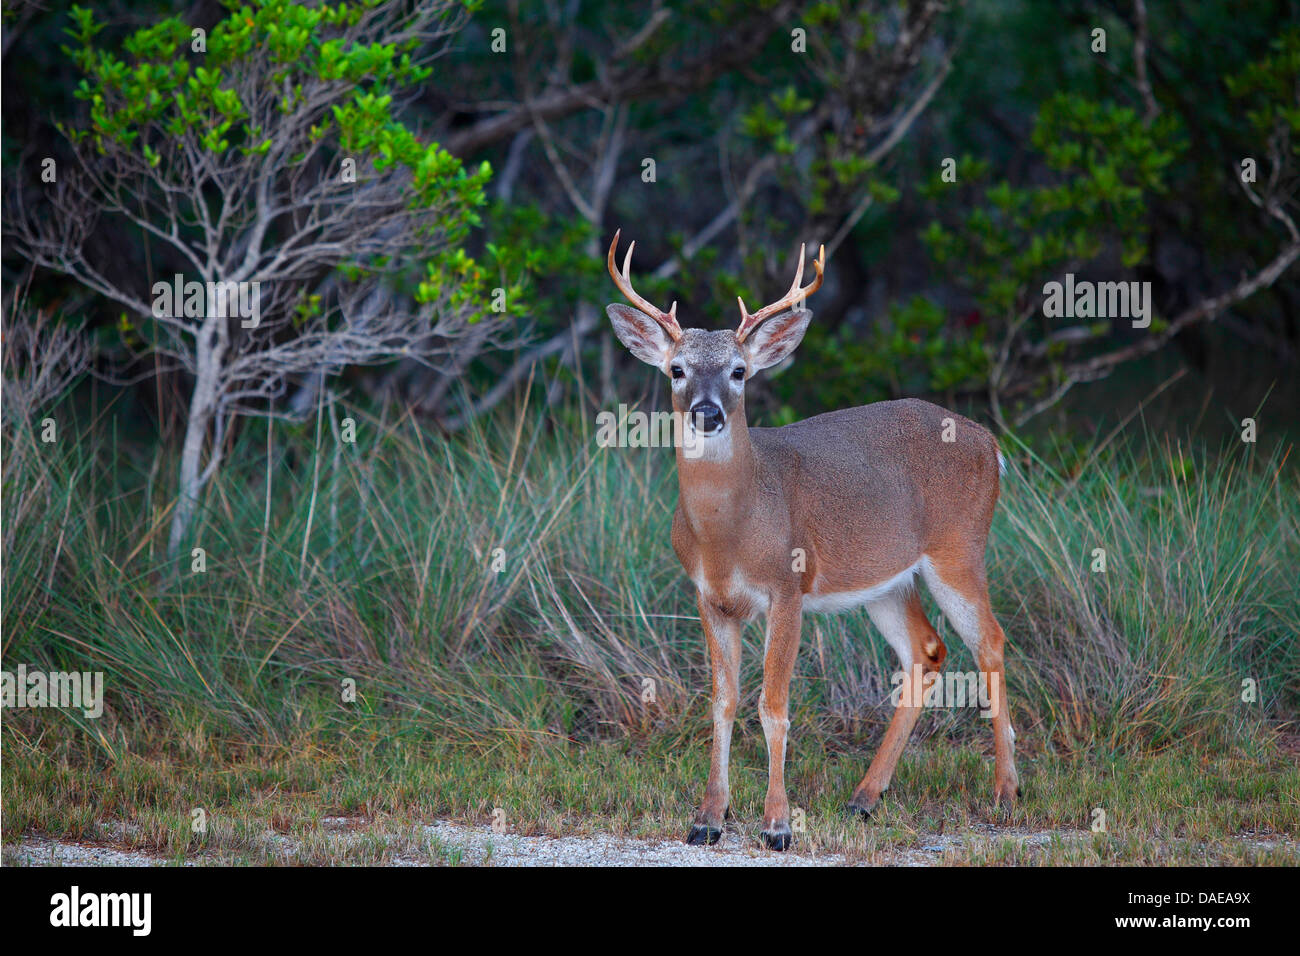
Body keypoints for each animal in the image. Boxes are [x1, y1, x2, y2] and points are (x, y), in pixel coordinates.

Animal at [604, 231, 1020, 850]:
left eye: (739, 372)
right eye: (676, 369)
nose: (707, 412)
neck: (730, 534)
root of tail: (990, 443)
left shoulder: (788, 586)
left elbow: (773, 704)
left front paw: (777, 824)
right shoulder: (709, 597)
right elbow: (722, 703)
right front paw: (707, 819)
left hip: (959, 547)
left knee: (989, 642)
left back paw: (1005, 793)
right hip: (886, 580)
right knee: (925, 650)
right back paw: (865, 797)